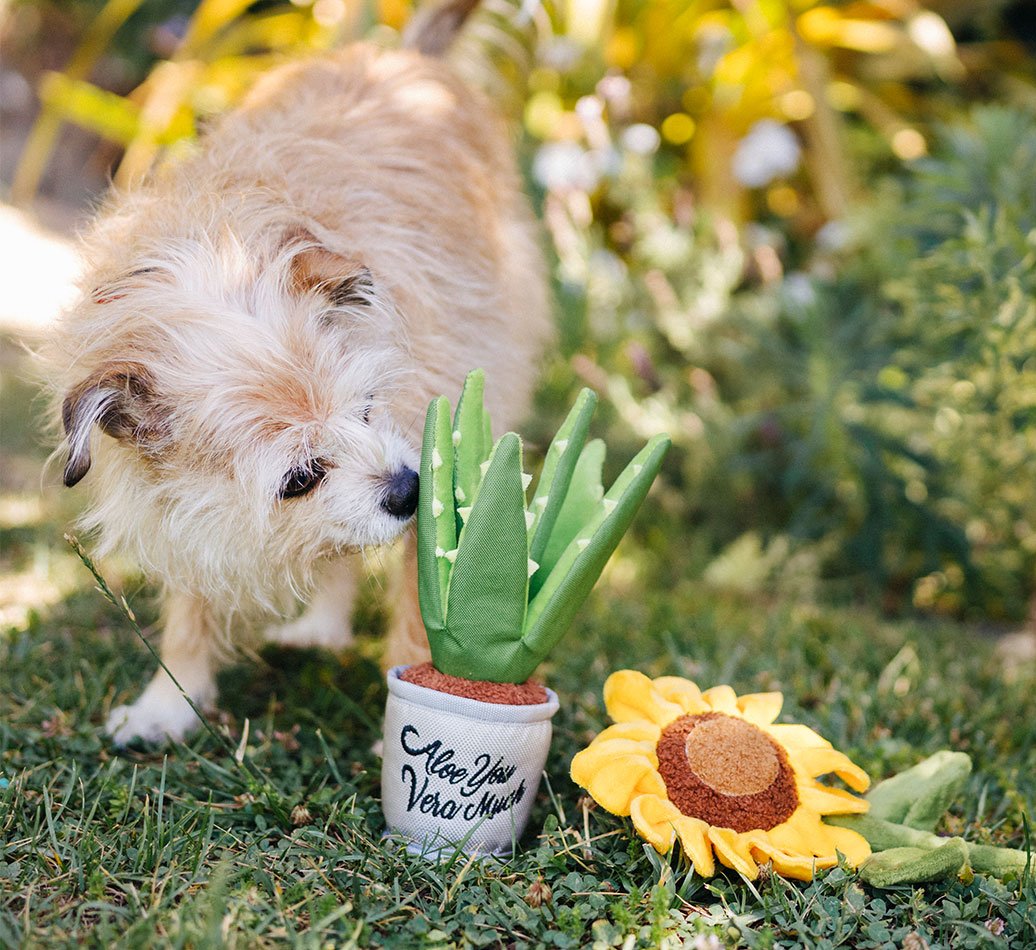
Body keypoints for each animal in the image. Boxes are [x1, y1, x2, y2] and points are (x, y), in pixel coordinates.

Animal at [48, 0, 551, 741]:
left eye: (368, 407)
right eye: (300, 478)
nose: (406, 489)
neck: (225, 247)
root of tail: (402, 55)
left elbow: (419, 610)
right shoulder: (190, 510)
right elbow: (193, 597)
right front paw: (170, 702)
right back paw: (322, 627)